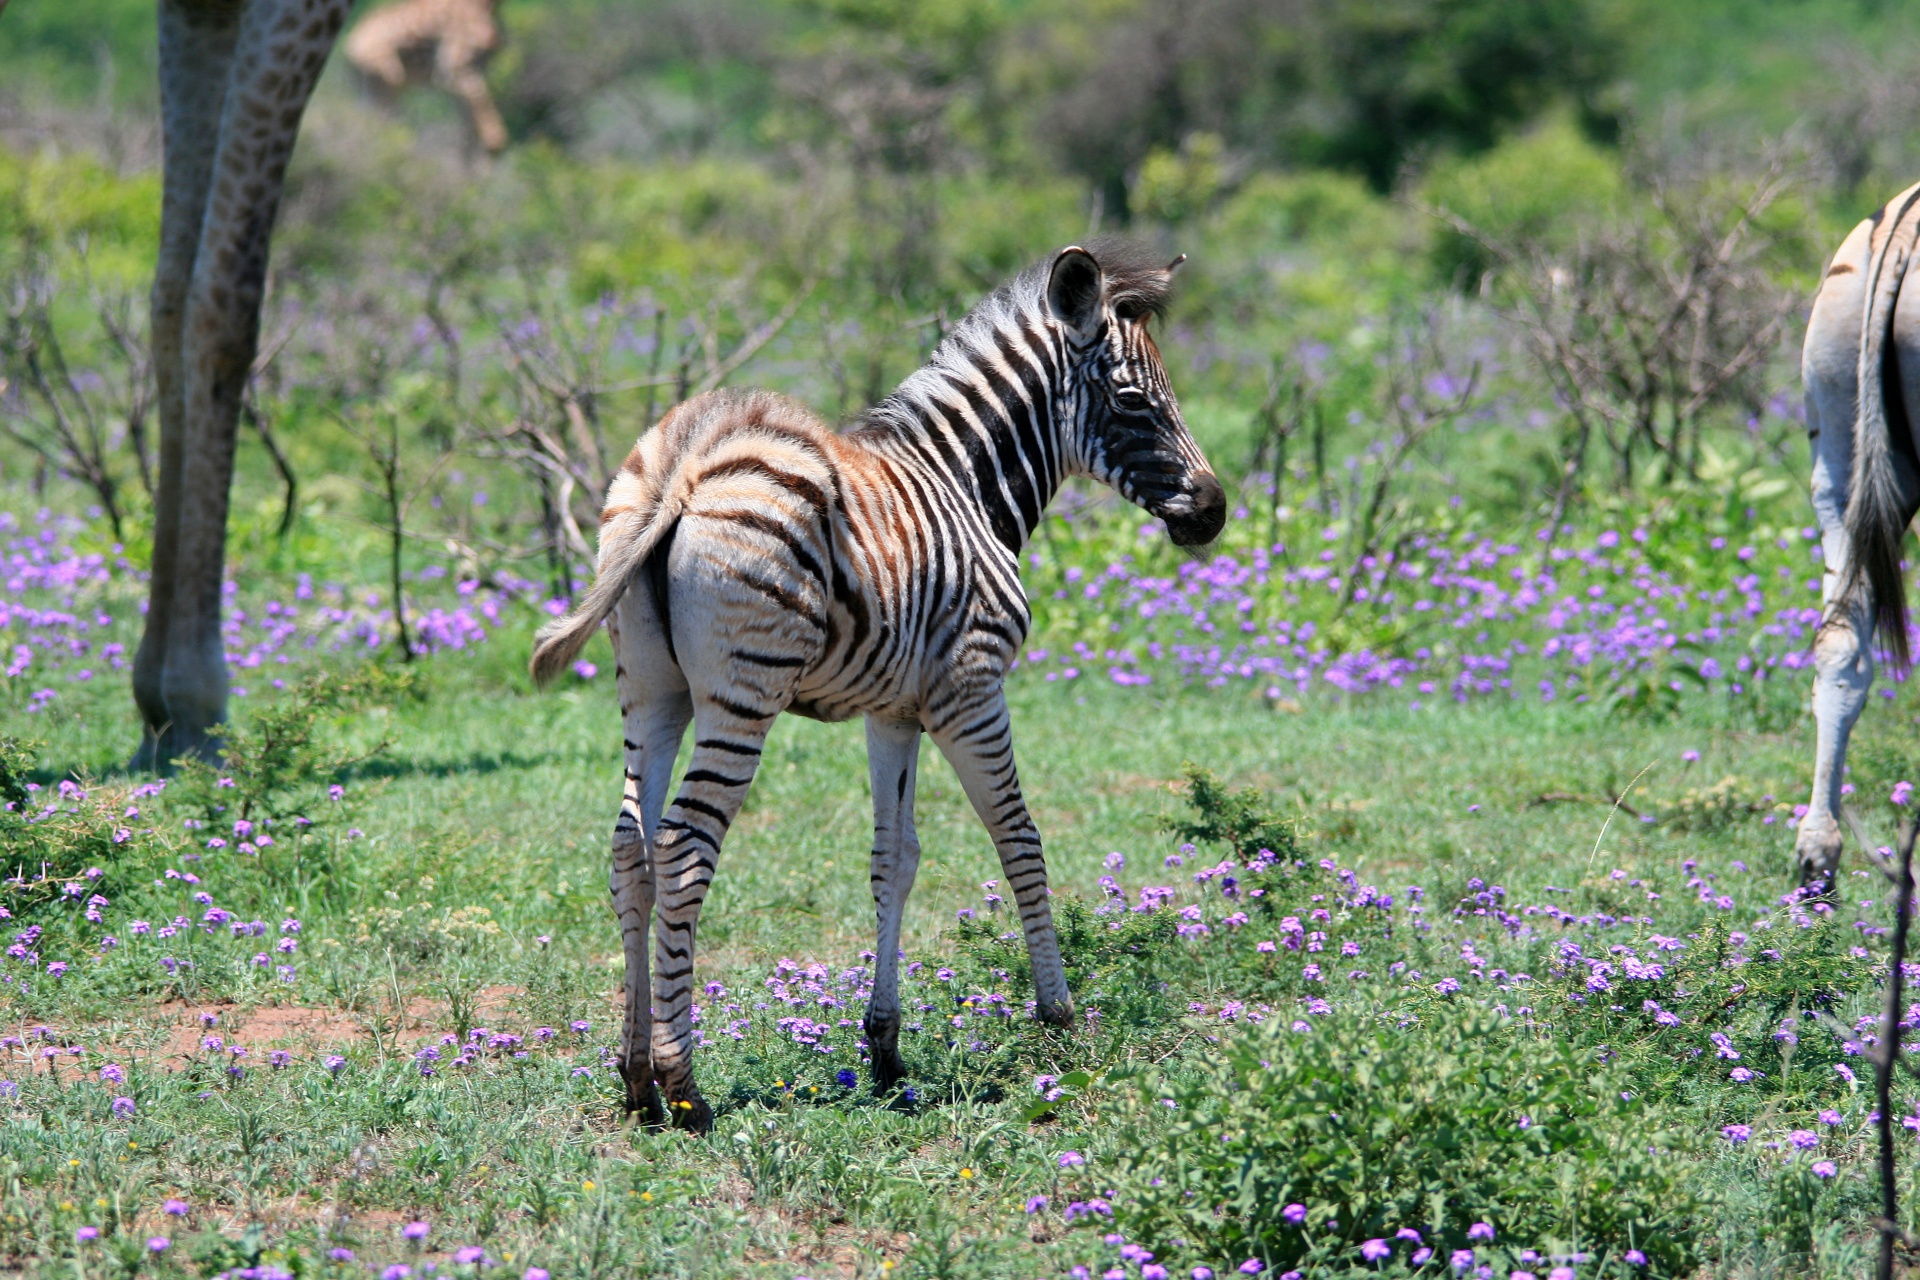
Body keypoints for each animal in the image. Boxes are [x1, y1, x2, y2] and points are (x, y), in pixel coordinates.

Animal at [526, 239, 1221, 1128]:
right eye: (1134, 400)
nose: (1214, 511)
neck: (968, 486)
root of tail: (686, 462)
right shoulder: (970, 688)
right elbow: (1018, 838)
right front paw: (1058, 1016)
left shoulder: (893, 710)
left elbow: (896, 857)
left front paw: (885, 1050)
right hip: (742, 696)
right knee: (682, 848)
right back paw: (687, 1089)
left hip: (652, 692)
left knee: (630, 850)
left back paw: (637, 1077)